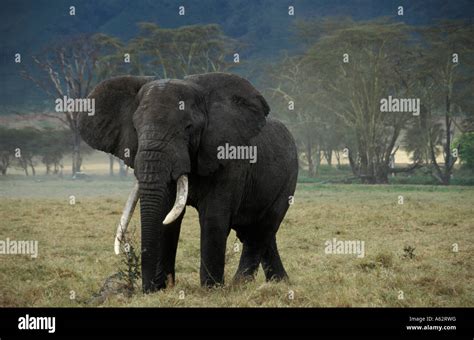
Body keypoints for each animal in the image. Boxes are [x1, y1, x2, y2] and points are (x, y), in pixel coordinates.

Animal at [79, 72, 298, 292]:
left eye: (188, 127)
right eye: (135, 128)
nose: (146, 289)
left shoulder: (228, 158)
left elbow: (213, 217)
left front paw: (211, 290)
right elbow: (166, 214)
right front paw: (163, 288)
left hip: (288, 179)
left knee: (261, 230)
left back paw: (240, 284)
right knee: (257, 232)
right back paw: (279, 282)